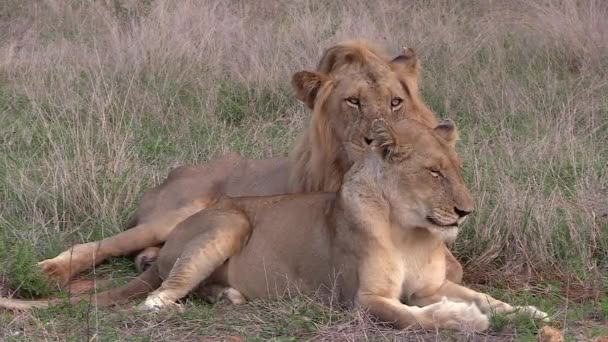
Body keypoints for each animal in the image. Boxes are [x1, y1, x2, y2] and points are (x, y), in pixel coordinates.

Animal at [0, 119, 548, 332]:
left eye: (457, 170)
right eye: (433, 172)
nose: (466, 211)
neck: (412, 231)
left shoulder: (433, 283)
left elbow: (487, 297)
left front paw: (526, 312)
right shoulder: (363, 300)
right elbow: (417, 316)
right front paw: (464, 319)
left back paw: (227, 296)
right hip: (225, 221)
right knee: (153, 297)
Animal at [36, 40, 466, 288]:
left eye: (395, 102)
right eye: (353, 102)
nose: (379, 138)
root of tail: (175, 172)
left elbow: (453, 268)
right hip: (179, 213)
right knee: (101, 243)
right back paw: (50, 271)